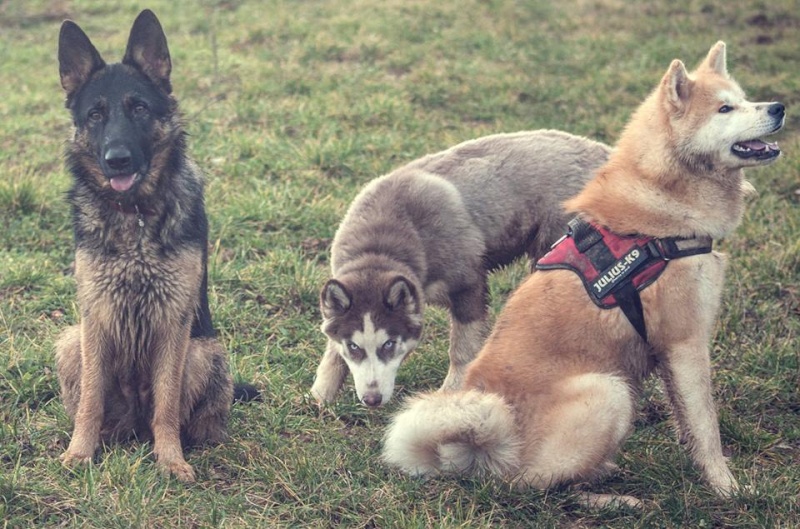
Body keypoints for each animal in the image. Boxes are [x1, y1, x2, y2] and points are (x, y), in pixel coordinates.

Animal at [310, 130, 608, 406]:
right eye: (353, 346)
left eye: (389, 344)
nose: (371, 399)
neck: (380, 246)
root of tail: (604, 152)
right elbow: (332, 353)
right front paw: (319, 395)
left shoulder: (469, 284)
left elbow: (462, 349)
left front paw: (450, 393)